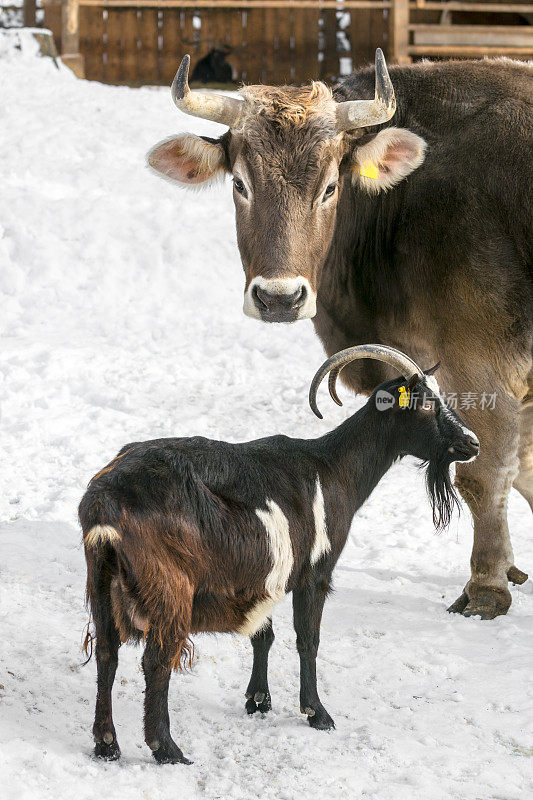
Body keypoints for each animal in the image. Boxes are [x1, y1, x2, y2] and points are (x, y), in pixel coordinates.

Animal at [78, 342, 478, 764]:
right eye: (427, 404)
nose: (472, 443)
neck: (331, 470)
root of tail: (105, 504)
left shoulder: (262, 579)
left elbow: (263, 636)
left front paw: (258, 700)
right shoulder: (315, 573)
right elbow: (308, 639)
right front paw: (316, 712)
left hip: (101, 580)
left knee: (106, 652)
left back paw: (107, 744)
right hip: (170, 588)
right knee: (156, 660)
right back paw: (167, 748)